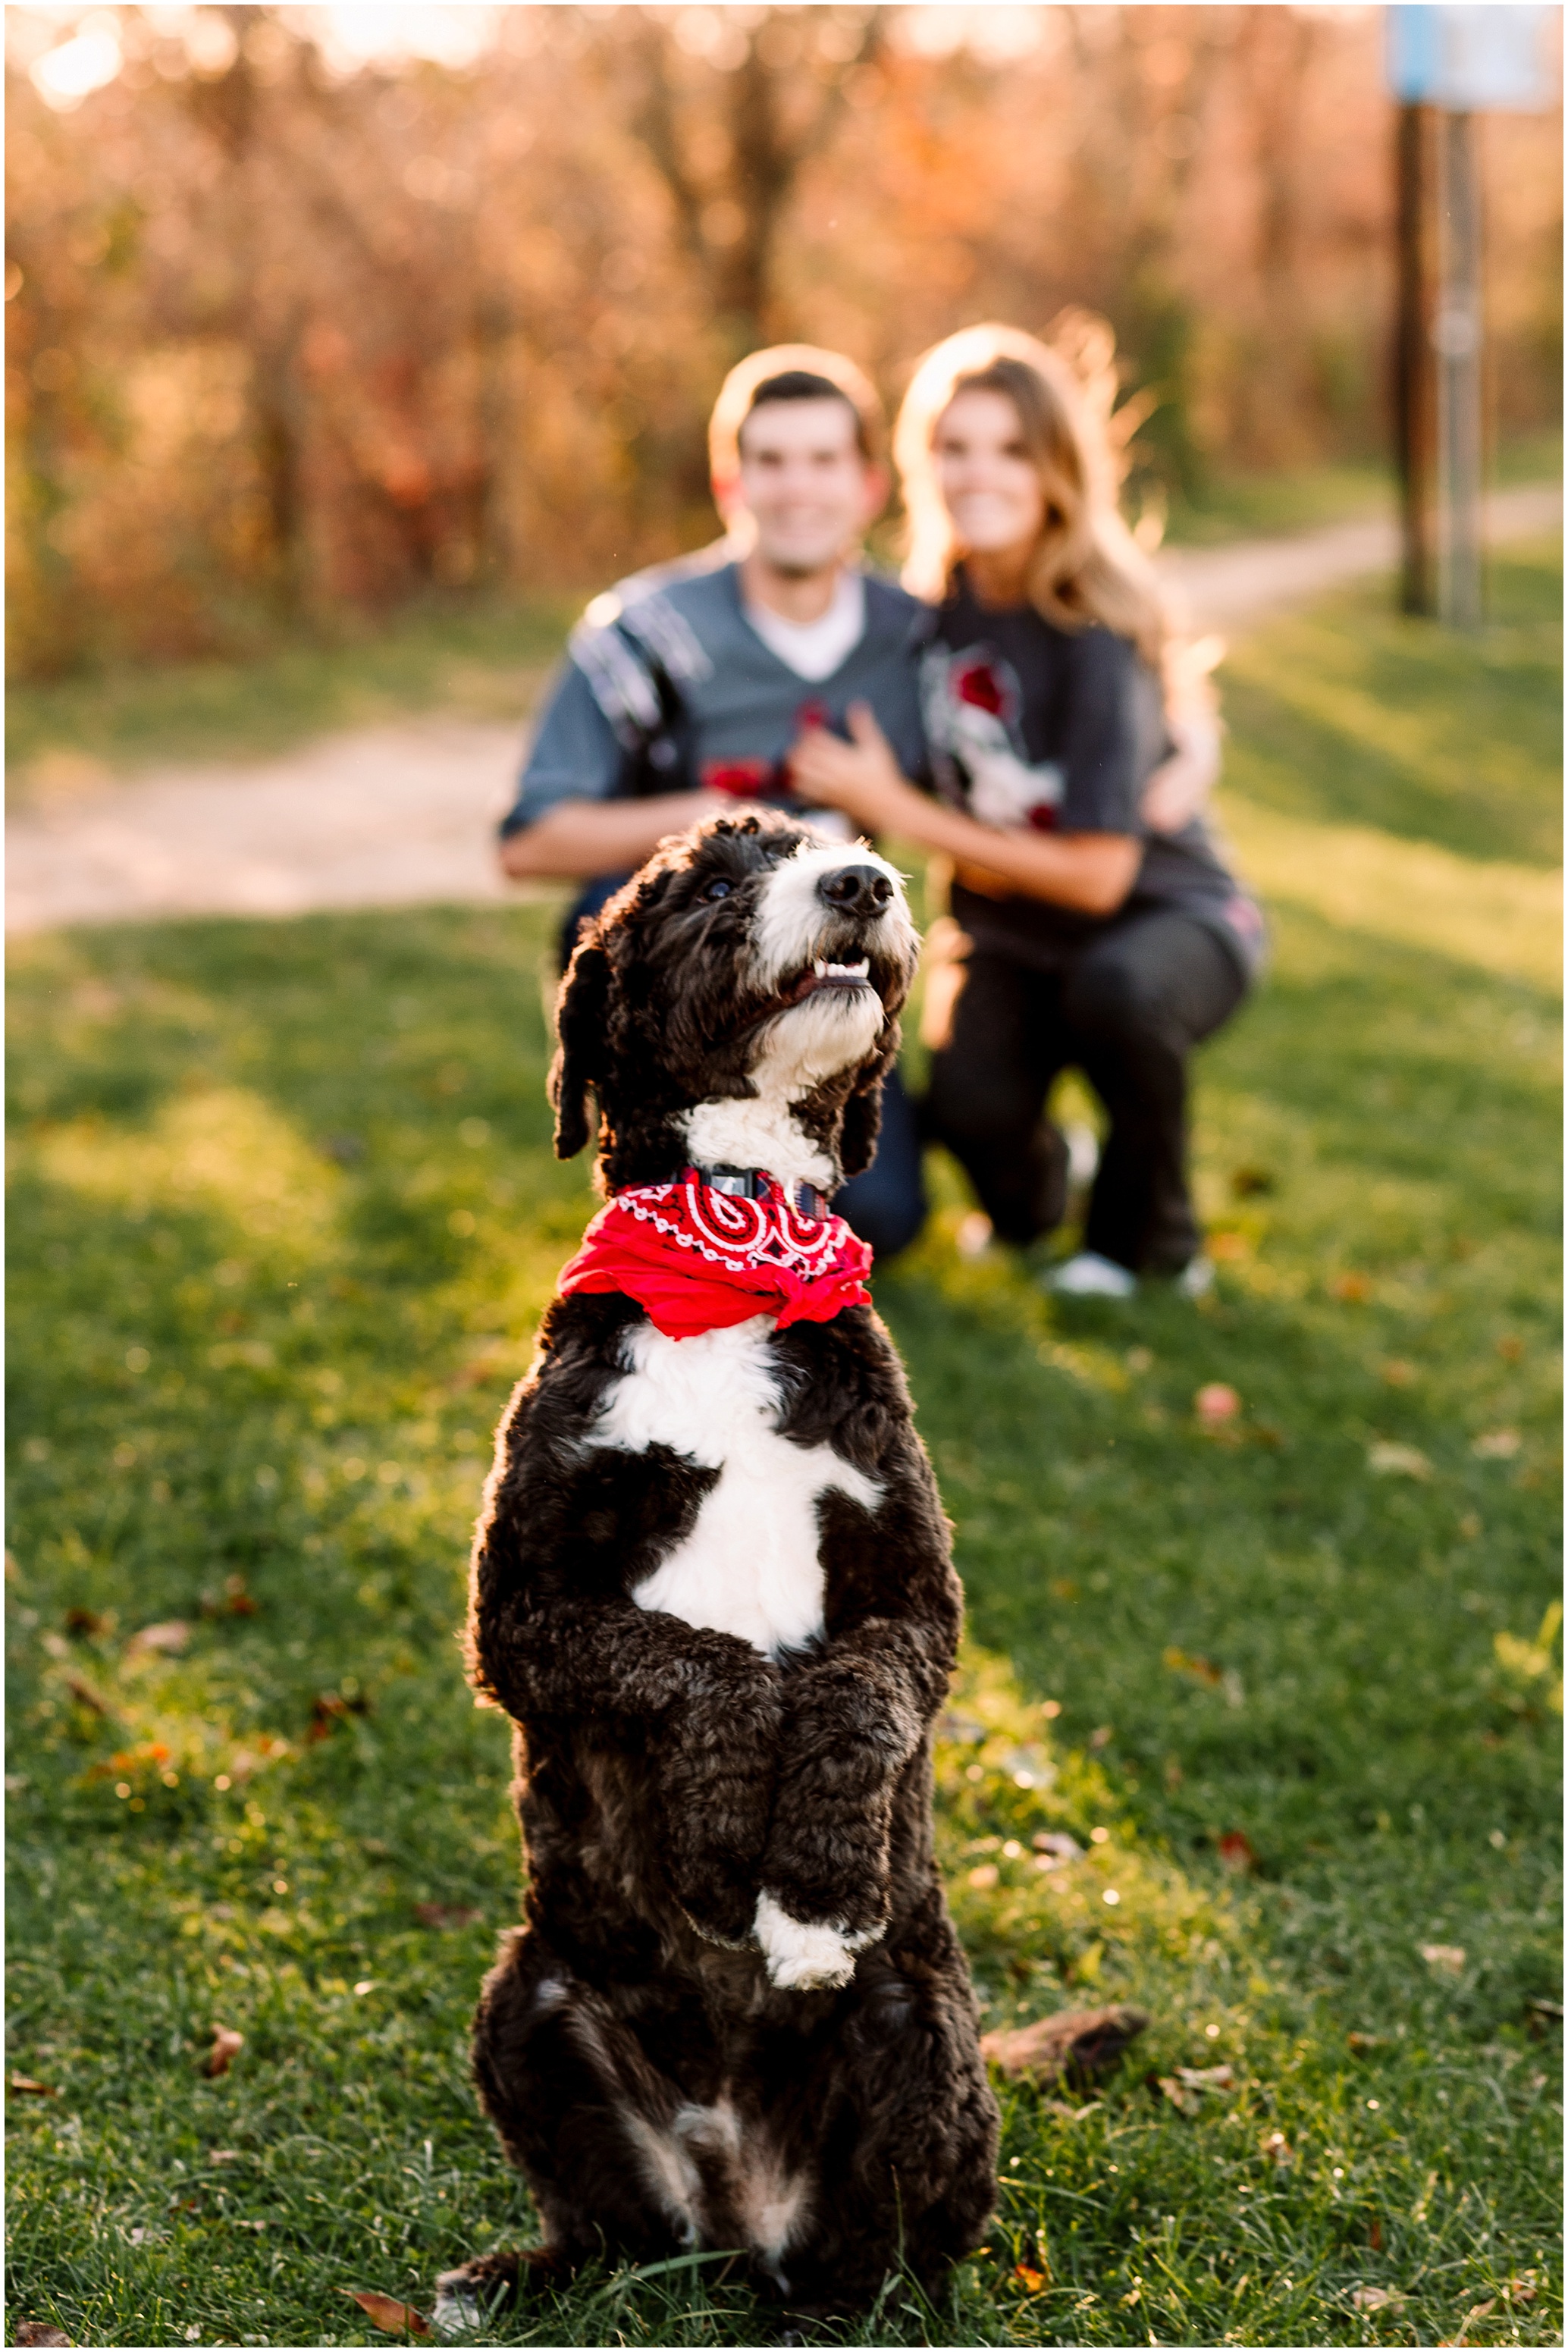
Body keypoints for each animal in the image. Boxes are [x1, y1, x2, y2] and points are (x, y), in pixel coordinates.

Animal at [439, 818, 1005, 2323]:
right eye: (708, 883)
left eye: (842, 845)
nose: (863, 882)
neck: (737, 1243)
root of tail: (735, 2205)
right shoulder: (519, 1615)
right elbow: (711, 1668)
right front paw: (714, 1847)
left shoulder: (916, 1607)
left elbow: (850, 1698)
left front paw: (807, 1898)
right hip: (530, 2007)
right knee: (607, 2226)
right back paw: (523, 2277)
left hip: (920, 2026)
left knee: (879, 2257)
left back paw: (832, 2307)